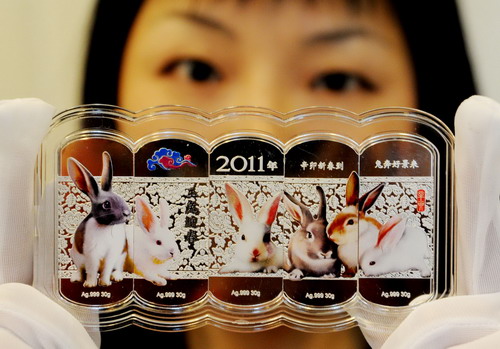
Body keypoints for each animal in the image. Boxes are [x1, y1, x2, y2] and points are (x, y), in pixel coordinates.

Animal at [67, 151, 131, 286]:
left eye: (120, 197)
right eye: (106, 204)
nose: (127, 213)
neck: (105, 226)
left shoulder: (112, 254)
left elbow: (106, 269)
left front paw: (105, 283)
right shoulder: (91, 254)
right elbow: (91, 271)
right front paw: (90, 284)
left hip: (121, 257)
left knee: (118, 268)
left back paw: (117, 277)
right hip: (75, 256)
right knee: (81, 270)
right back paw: (76, 278)